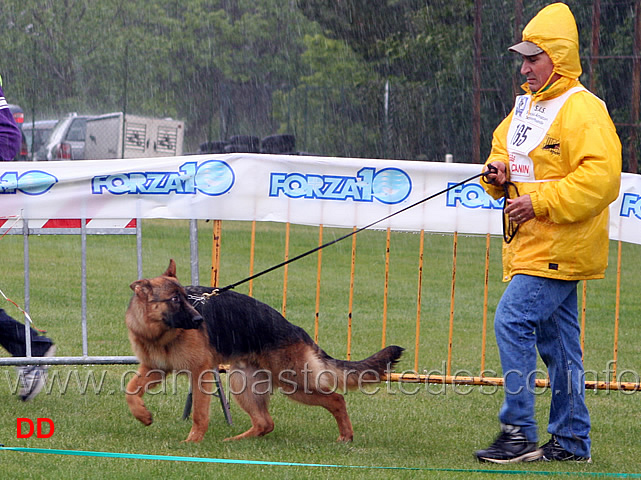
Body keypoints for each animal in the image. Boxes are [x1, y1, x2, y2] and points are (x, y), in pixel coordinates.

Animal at [125, 260, 402, 444]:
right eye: (174, 299)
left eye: (186, 297)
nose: (198, 319)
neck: (159, 333)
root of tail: (296, 329)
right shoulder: (155, 369)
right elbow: (130, 390)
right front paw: (143, 415)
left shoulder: (200, 373)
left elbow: (199, 414)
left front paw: (192, 442)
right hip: (242, 382)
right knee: (265, 423)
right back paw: (235, 442)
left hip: (292, 383)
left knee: (336, 399)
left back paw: (346, 436)